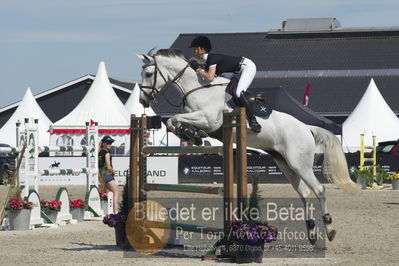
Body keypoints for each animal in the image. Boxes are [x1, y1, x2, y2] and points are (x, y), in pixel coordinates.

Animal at [137, 48, 360, 244]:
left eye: (148, 73)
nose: (143, 100)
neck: (197, 86)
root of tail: (307, 128)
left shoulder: (209, 119)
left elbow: (174, 119)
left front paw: (192, 134)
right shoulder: (203, 121)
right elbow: (172, 122)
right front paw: (193, 135)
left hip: (300, 164)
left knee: (319, 190)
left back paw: (329, 229)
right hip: (286, 165)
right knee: (305, 193)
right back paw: (312, 232)